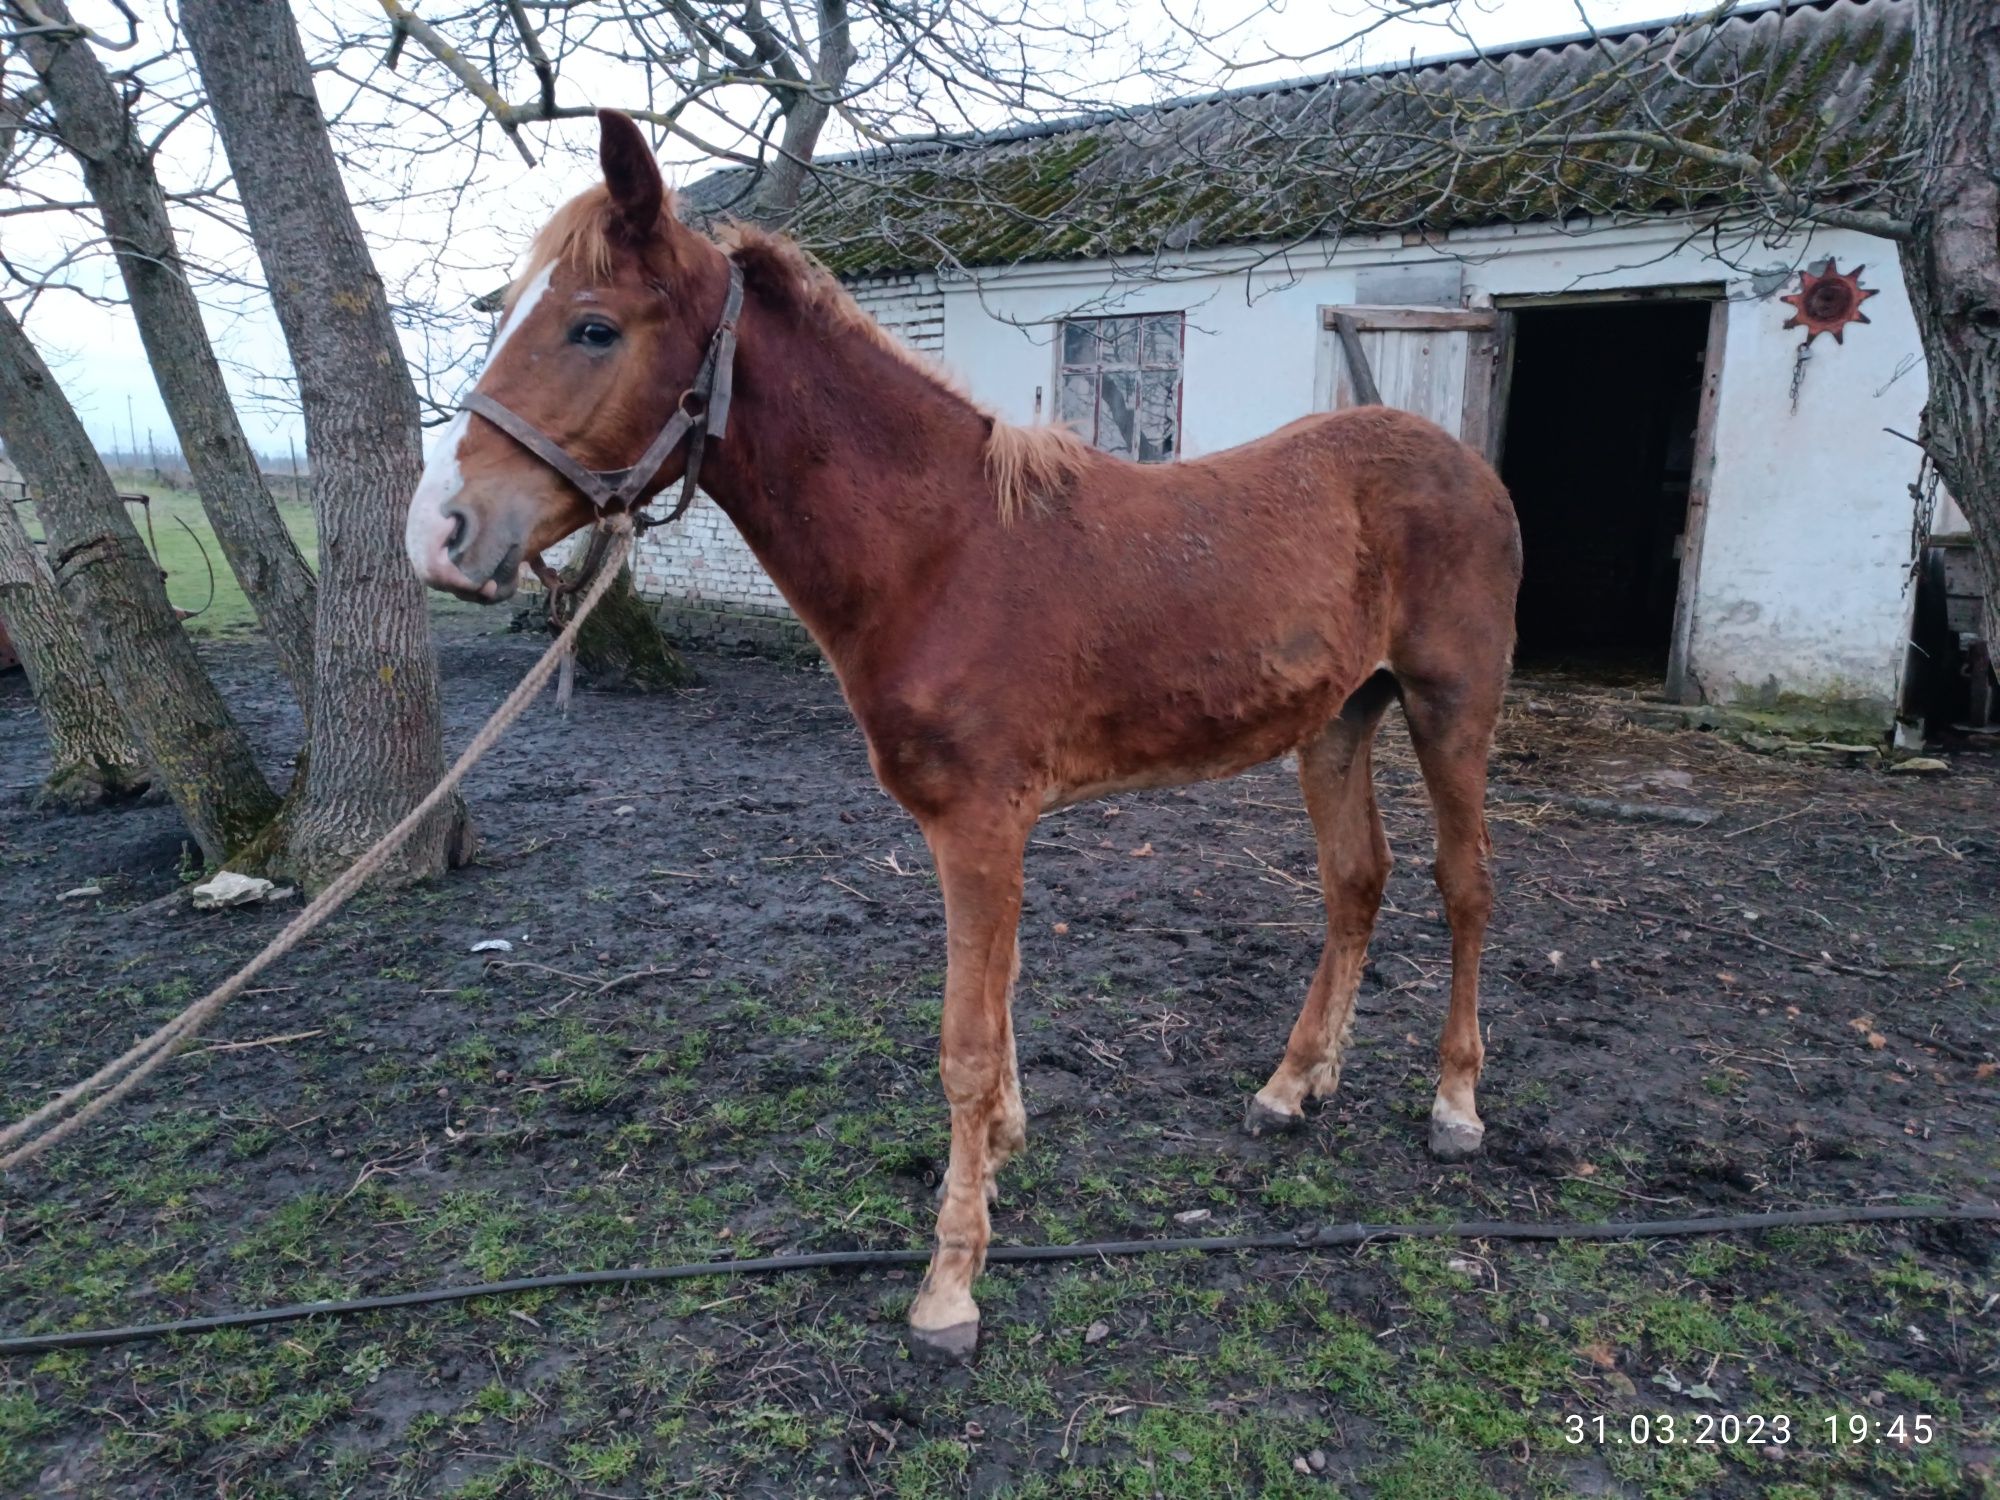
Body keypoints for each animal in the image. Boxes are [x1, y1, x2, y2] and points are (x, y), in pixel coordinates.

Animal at [410, 114, 1528, 1360]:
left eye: (594, 327)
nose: (443, 531)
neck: (939, 549)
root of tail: (1459, 461)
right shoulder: (991, 826)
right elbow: (997, 1008)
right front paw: (998, 1157)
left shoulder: (979, 823)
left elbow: (963, 1041)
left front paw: (949, 1282)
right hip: (1338, 718)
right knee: (1354, 883)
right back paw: (1292, 1087)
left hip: (1449, 705)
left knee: (1464, 884)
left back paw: (1453, 1105)